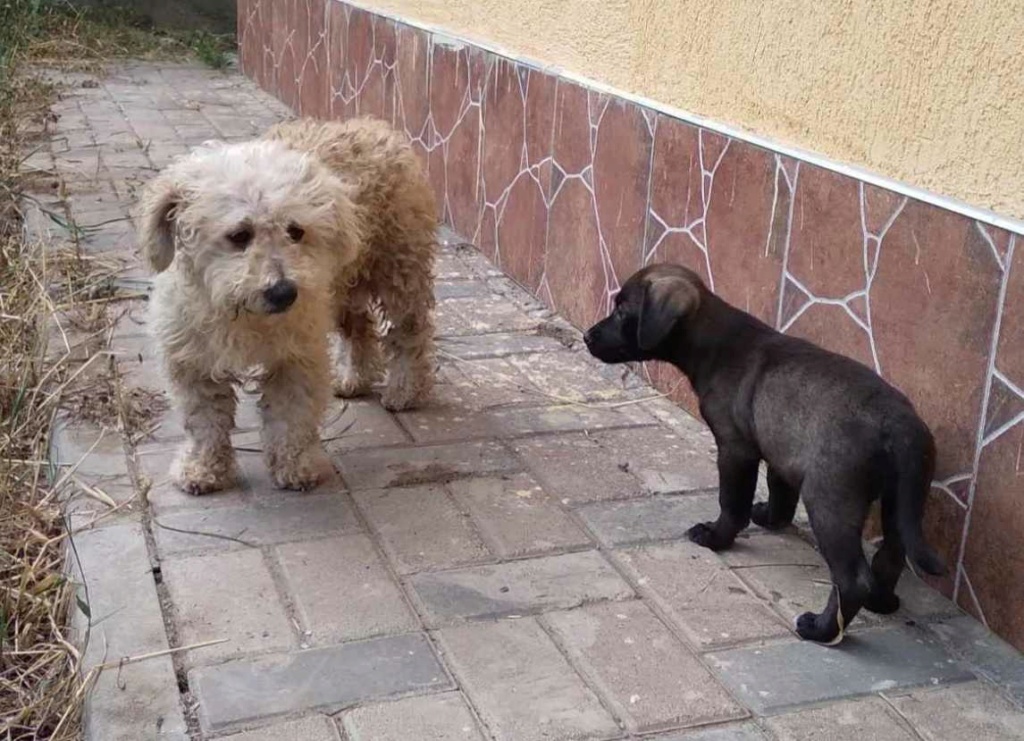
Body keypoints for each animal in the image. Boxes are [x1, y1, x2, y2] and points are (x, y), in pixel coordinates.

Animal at [585, 264, 942, 646]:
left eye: (623, 310)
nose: (588, 337)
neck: (716, 343)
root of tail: (899, 423)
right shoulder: (779, 452)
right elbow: (779, 492)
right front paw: (771, 518)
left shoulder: (734, 448)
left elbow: (732, 502)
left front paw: (716, 536)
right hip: (901, 500)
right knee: (891, 555)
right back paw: (882, 602)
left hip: (830, 501)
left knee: (852, 579)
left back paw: (822, 629)